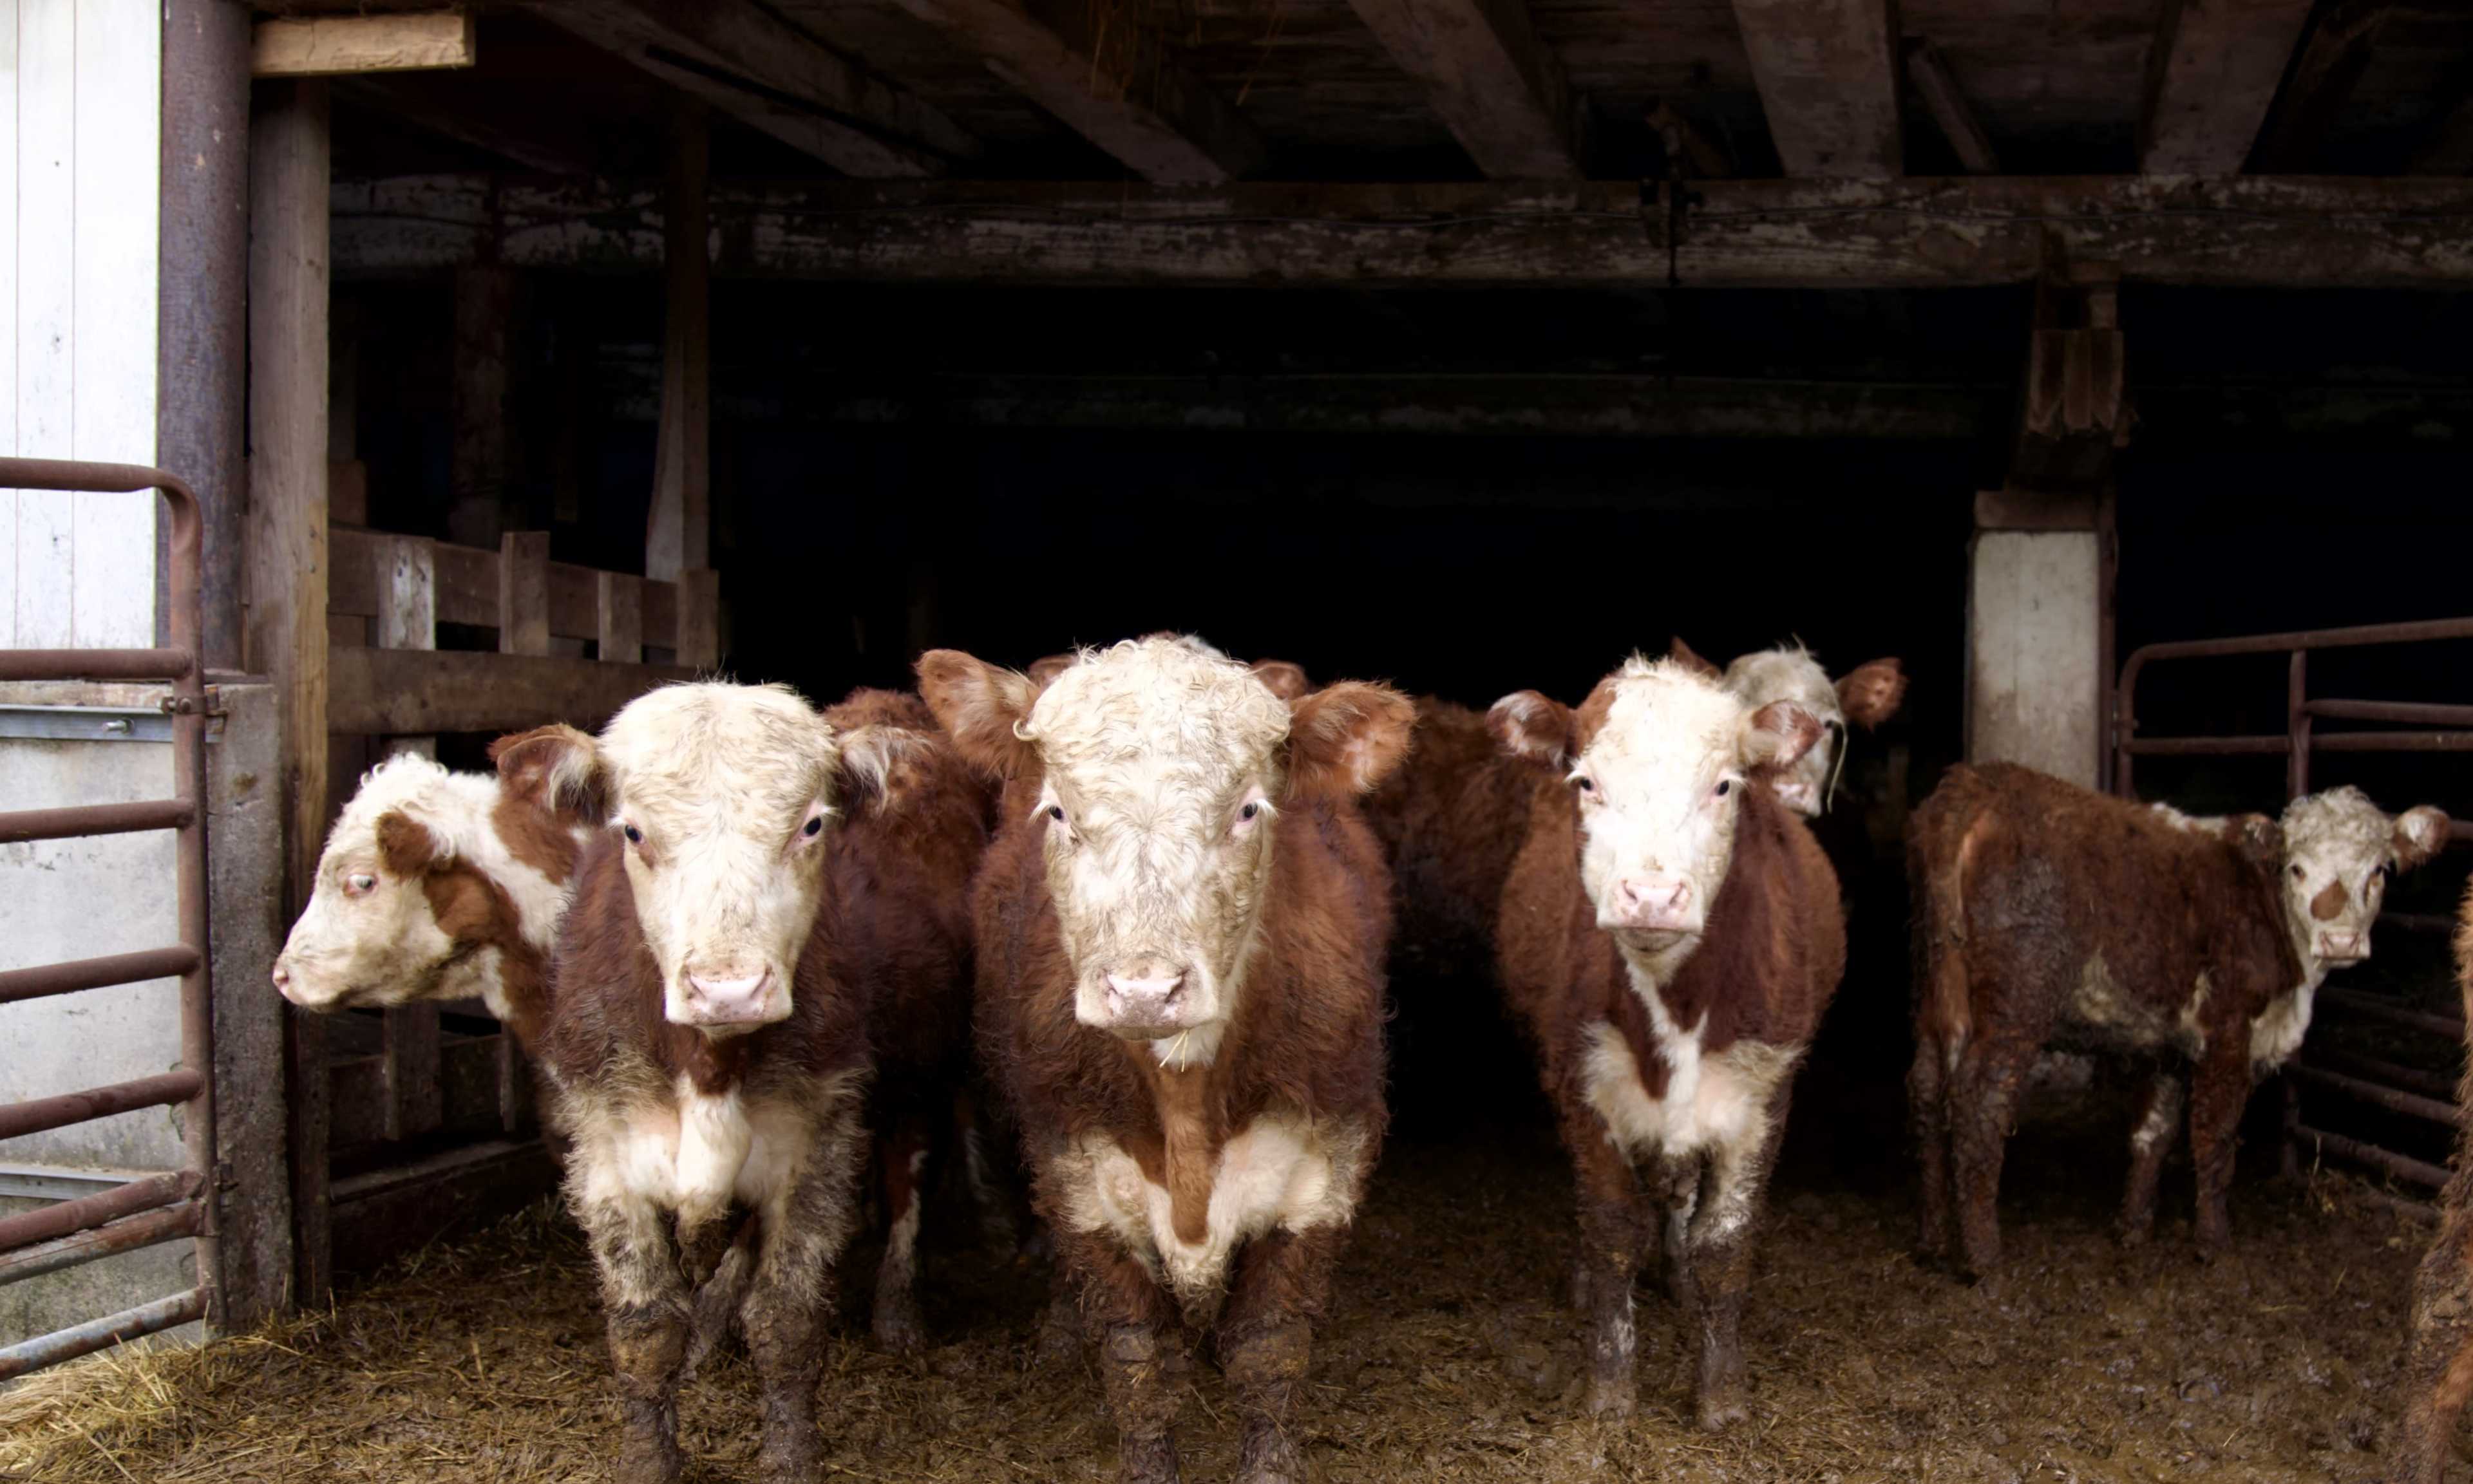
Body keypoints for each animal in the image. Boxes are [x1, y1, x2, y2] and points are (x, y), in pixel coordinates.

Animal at [524, 682, 981, 1484]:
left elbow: (786, 1321)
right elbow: (645, 1325)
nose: (727, 989)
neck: (707, 1063)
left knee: (907, 1179)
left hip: (923, 1072)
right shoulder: (606, 1145)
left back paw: (898, 1311)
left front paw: (791, 1454)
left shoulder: (815, 1141)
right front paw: (649, 1457)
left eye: (812, 825)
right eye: (634, 832)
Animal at [919, 636, 1411, 1484]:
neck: (1186, 1104)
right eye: (1059, 811)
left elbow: (1270, 1346)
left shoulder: (1324, 1165)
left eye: (1247, 809)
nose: (1144, 989)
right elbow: (1138, 1358)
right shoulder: (1078, 1169)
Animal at [1489, 651, 1845, 1431]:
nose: (1651, 897)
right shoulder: (1581, 1082)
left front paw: (1722, 1396)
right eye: (1586, 782)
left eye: (1724, 784)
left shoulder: (1765, 1091)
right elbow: (1613, 1229)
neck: (1676, 1003)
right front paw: (1610, 1390)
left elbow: (1725, 1243)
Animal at [1907, 762, 2450, 1279]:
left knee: (1928, 1091)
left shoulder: (2168, 1046)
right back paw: (1984, 1259)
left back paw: (1933, 1243)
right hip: (2017, 1000)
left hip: (1934, 992)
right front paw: (2213, 1243)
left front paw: (2132, 1229)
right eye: (2296, 868)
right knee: (1980, 1104)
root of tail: (1977, 785)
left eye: (2379, 870)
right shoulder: (2228, 1031)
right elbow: (2215, 1137)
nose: (2341, 941)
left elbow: (2154, 1132)